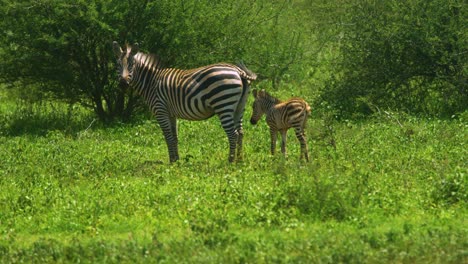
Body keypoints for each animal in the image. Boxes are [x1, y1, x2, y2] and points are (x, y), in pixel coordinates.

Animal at [112, 41, 256, 163]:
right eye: (118, 65)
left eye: (131, 65)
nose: (123, 84)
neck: (152, 82)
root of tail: (238, 71)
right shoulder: (171, 114)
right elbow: (174, 137)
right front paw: (176, 159)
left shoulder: (160, 110)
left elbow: (168, 137)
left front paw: (171, 161)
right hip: (239, 107)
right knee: (240, 133)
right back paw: (240, 160)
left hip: (223, 104)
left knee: (233, 134)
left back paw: (230, 161)